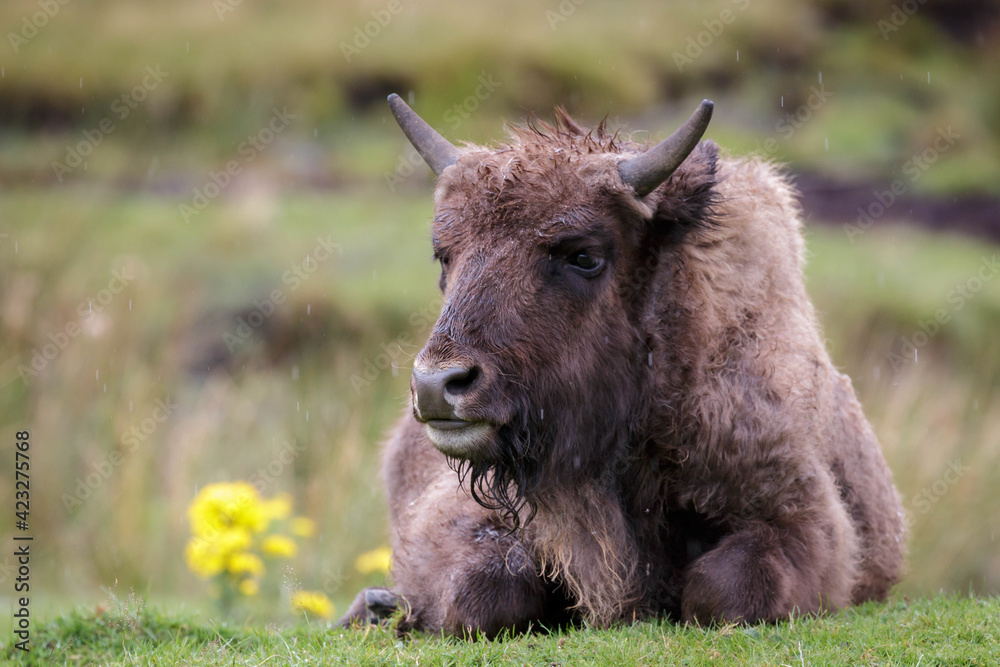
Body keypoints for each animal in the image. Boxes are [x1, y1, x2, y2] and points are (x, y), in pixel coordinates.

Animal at [342, 95, 908, 636]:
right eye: (445, 255)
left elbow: (726, 588)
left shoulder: (797, 513)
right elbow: (487, 587)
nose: (437, 385)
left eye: (583, 255)